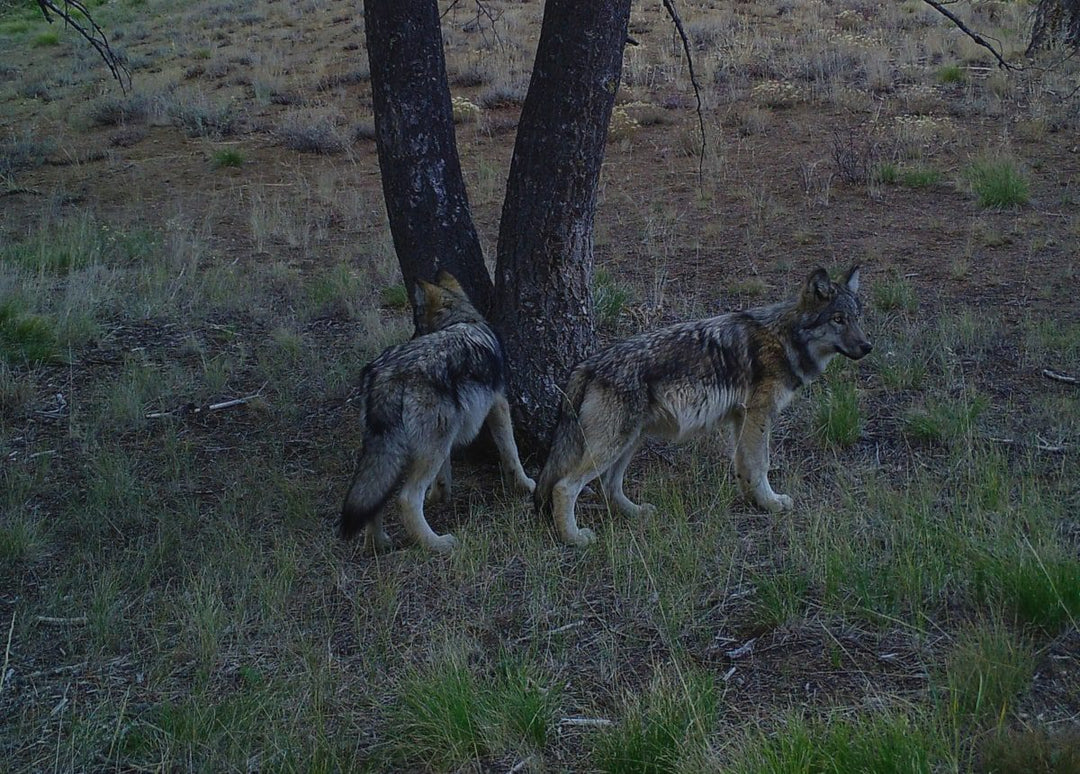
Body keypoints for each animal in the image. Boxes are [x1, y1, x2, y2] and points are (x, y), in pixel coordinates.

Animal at [339, 271, 535, 554]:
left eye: (417, 324)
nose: (411, 337)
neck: (463, 320)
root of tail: (385, 374)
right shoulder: (498, 404)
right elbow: (511, 452)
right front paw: (525, 485)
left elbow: (444, 474)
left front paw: (439, 495)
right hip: (431, 448)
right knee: (406, 498)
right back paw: (437, 543)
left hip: (397, 451)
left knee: (375, 498)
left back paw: (378, 543)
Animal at [535, 266, 871, 546]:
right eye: (838, 319)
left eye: (857, 317)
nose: (868, 346)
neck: (784, 338)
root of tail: (587, 366)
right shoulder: (759, 414)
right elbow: (761, 464)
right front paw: (772, 503)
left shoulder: (741, 418)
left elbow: (744, 466)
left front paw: (753, 500)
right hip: (612, 445)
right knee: (564, 487)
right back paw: (574, 539)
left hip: (630, 441)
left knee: (609, 486)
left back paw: (636, 513)